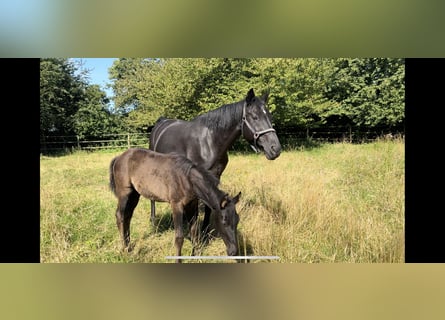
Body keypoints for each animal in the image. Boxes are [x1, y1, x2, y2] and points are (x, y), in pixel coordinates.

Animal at [149, 89, 280, 236]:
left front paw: (205, 231)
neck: (209, 142)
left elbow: (208, 207)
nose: (275, 149)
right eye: (254, 116)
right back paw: (153, 221)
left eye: (270, 117)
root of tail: (161, 122)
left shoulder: (214, 176)